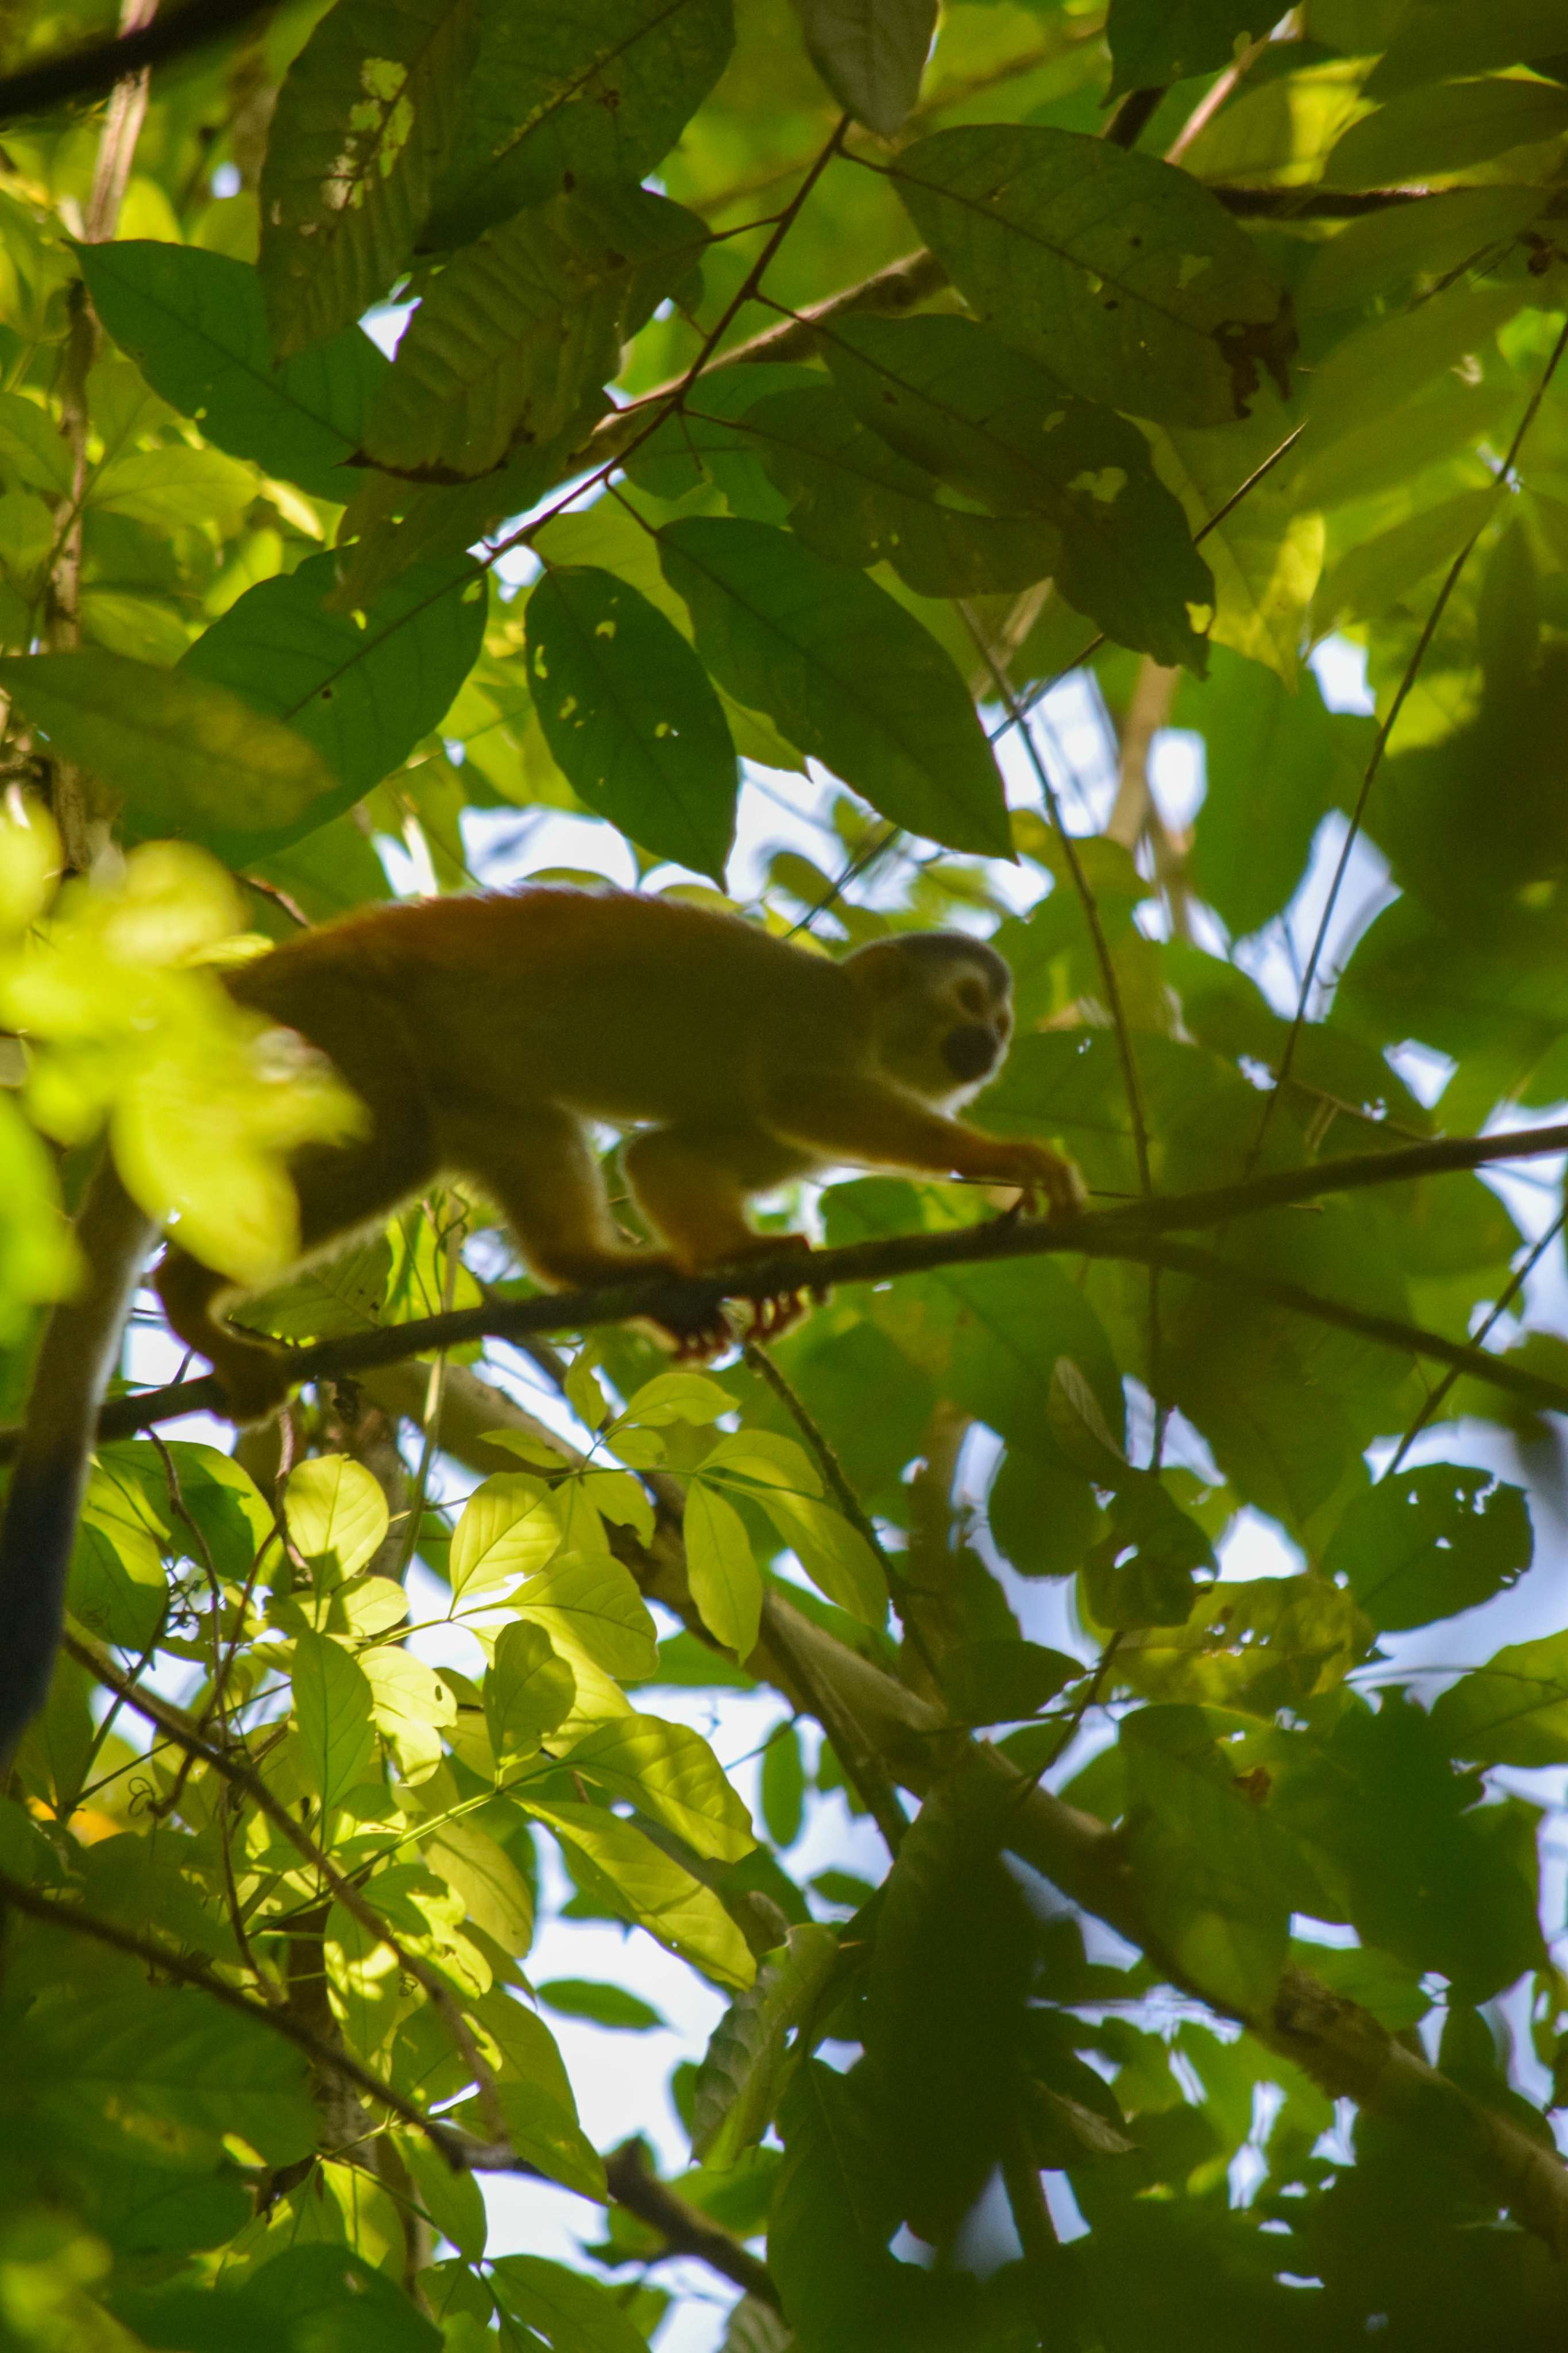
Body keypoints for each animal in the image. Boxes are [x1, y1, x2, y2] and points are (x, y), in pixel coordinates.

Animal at [0, 883, 1082, 1760]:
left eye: (1002, 1017)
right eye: (971, 1004)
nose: (992, 1042)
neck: (864, 1018)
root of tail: (260, 971)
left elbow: (665, 1160)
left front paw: (744, 1260)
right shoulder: (811, 1035)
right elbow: (801, 1096)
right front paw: (1011, 1157)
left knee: (491, 1129)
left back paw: (610, 1274)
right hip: (338, 1018)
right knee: (394, 1139)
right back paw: (189, 1295)